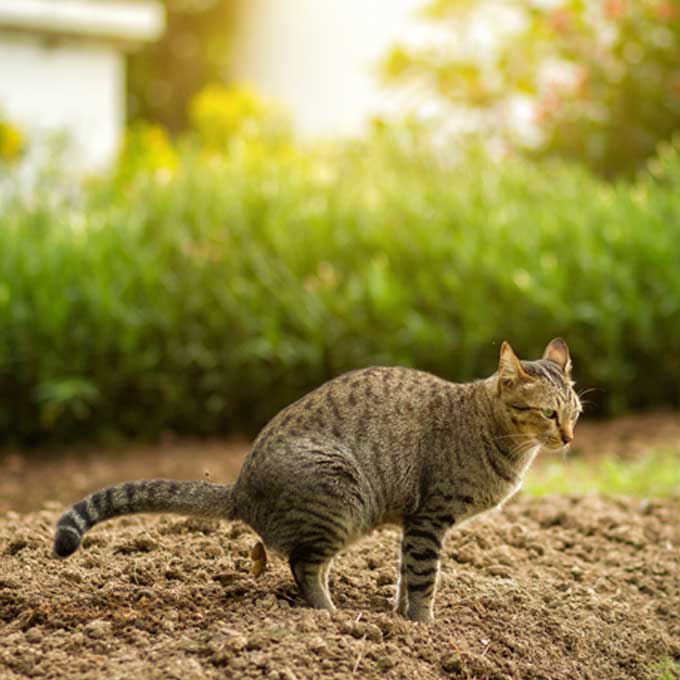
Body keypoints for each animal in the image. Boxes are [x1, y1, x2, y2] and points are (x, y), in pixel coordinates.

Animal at [55, 338, 580, 620]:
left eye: (575, 411)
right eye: (548, 413)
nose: (570, 437)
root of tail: (240, 487)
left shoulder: (414, 524)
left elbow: (403, 575)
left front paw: (398, 617)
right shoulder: (430, 518)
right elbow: (422, 578)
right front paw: (422, 627)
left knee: (312, 564)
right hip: (341, 497)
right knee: (303, 566)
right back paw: (330, 617)